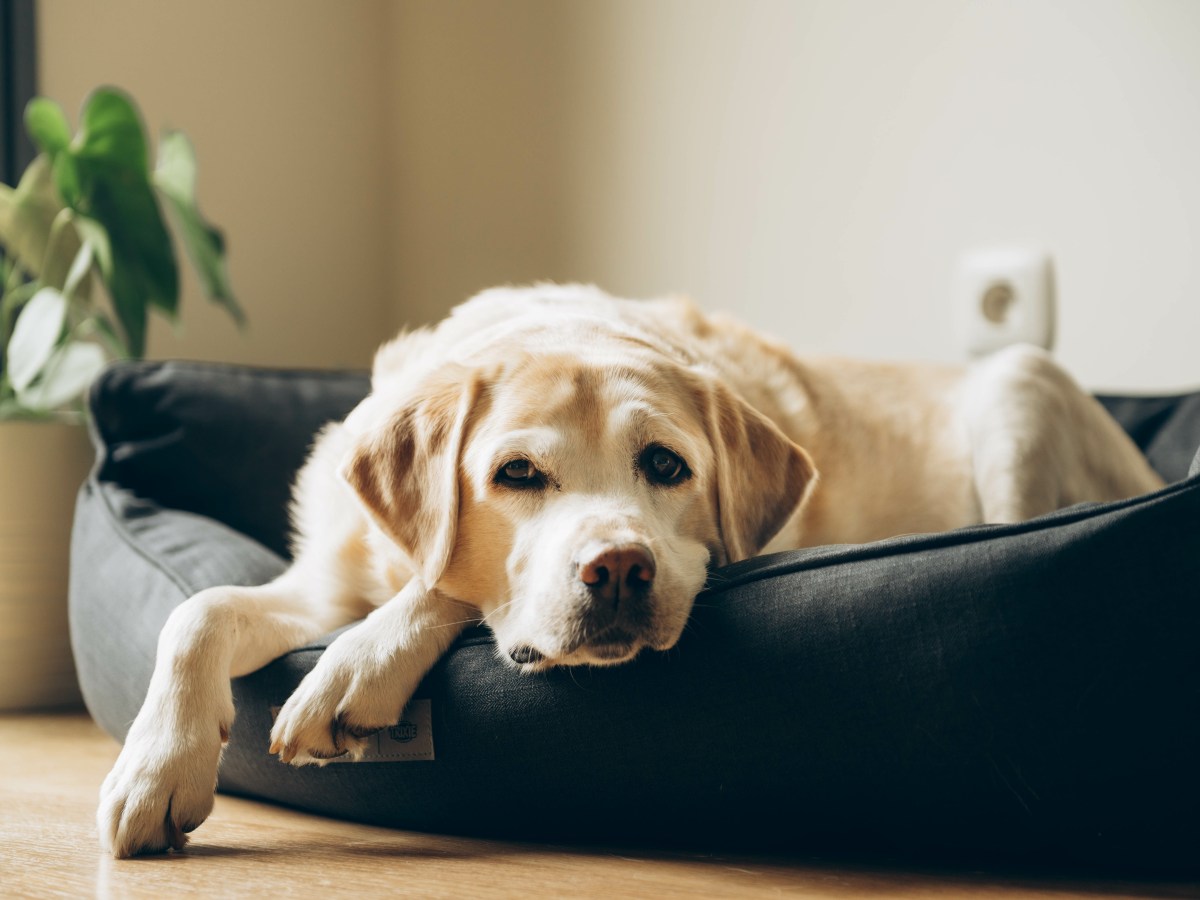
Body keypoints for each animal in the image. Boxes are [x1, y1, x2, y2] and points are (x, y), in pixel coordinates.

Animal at [98, 283, 1166, 859]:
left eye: (666, 466)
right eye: (516, 475)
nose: (616, 569)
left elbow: (444, 588)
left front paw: (357, 667)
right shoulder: (322, 581)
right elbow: (197, 612)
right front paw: (155, 767)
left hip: (1021, 384)